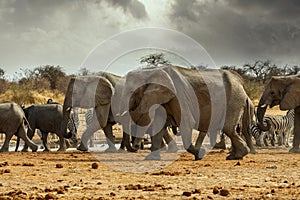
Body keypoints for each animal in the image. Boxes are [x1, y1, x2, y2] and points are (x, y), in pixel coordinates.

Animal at [118, 65, 253, 161]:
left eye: (132, 92)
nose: (136, 147)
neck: (151, 71)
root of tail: (240, 81)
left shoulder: (179, 94)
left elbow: (186, 123)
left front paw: (200, 154)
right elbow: (159, 124)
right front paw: (151, 158)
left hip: (233, 99)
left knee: (228, 127)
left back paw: (236, 156)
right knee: (230, 129)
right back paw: (234, 156)